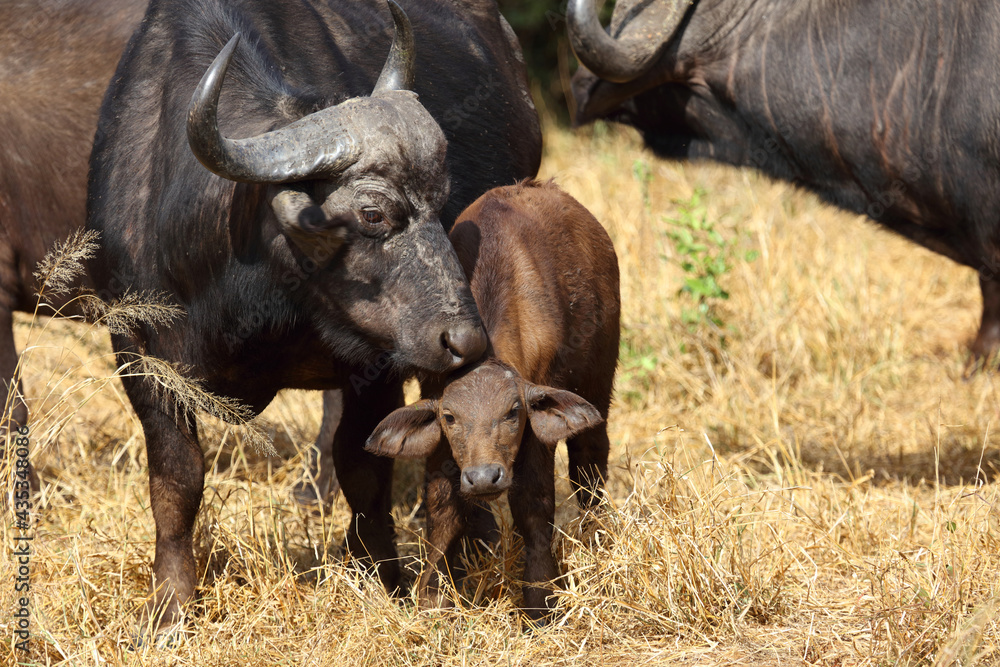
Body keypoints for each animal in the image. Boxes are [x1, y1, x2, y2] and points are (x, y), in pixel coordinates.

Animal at [87, 0, 540, 633]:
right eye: (372, 213)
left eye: (442, 198)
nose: (465, 340)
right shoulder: (140, 358)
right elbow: (176, 481)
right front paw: (170, 605)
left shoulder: (373, 369)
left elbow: (364, 468)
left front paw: (384, 575)